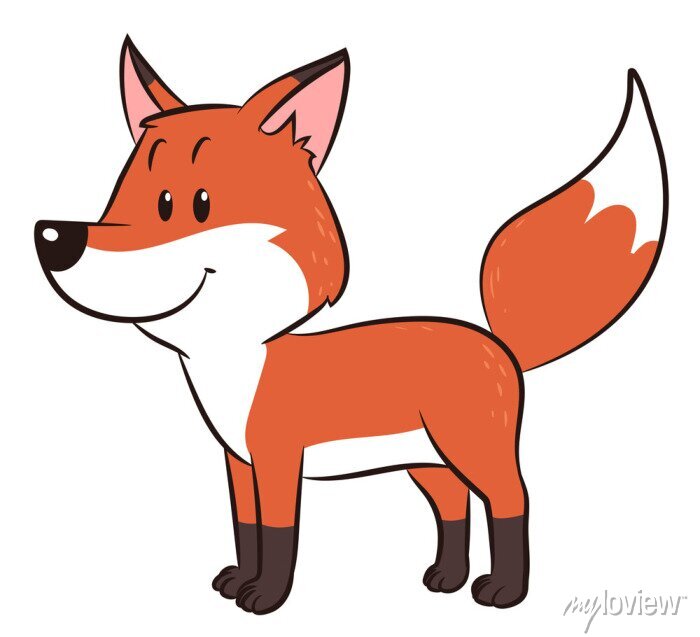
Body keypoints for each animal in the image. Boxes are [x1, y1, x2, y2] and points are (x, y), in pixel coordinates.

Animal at [34, 37, 667, 615]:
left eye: (186, 203)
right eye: (119, 199)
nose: (53, 235)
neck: (238, 364)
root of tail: (496, 341)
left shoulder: (278, 458)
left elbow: (278, 536)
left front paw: (266, 598)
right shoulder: (239, 462)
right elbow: (246, 530)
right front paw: (238, 582)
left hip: (470, 450)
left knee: (513, 501)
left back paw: (504, 592)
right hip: (426, 463)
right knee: (453, 507)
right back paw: (445, 578)